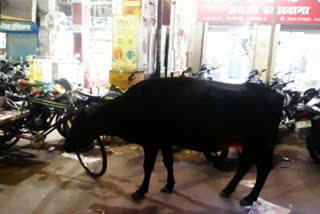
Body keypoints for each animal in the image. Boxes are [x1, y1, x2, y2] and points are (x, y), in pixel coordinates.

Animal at [65, 77, 282, 207]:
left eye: (79, 124)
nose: (66, 145)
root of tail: (275, 95)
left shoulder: (151, 142)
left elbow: (148, 167)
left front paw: (140, 191)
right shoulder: (165, 141)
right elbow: (168, 162)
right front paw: (169, 185)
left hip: (259, 143)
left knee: (262, 168)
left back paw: (249, 197)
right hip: (249, 144)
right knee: (246, 166)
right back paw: (228, 190)